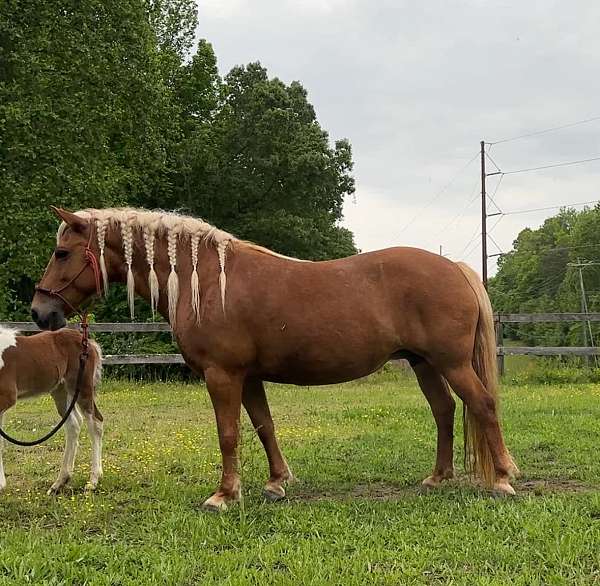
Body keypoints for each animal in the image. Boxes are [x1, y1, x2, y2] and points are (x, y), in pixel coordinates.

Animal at [0, 326, 103, 490]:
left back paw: (93, 480)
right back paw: (60, 482)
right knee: (73, 424)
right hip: (61, 392)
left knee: (95, 423)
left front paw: (1, 485)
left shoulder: (5, 398)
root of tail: (88, 343)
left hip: (82, 387)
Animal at [30, 208, 516, 508]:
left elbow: (228, 434)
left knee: (482, 405)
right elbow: (264, 426)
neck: (207, 280)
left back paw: (502, 479)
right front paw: (277, 483)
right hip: (423, 362)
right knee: (445, 410)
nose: (40, 312)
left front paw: (224, 495)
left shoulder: (223, 375)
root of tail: (455, 268)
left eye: (61, 252)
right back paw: (439, 477)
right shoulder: (248, 377)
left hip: (451, 363)